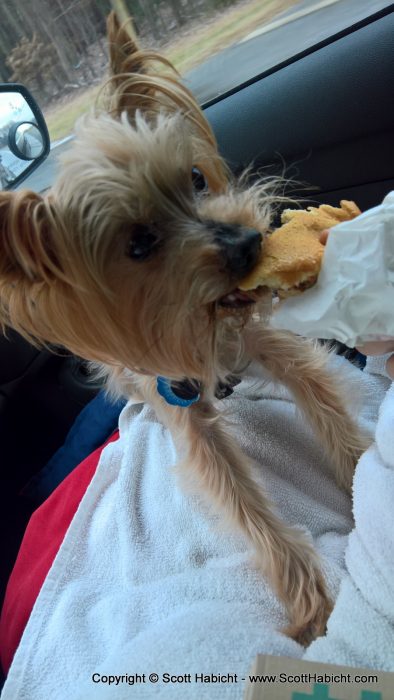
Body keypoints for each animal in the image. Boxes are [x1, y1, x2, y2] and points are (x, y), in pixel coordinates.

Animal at [0, 12, 370, 644]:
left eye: (197, 178)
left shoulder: (266, 340)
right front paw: (312, 607)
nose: (248, 244)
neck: (204, 323)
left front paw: (367, 475)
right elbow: (239, 498)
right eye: (138, 244)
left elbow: (324, 403)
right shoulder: (180, 402)